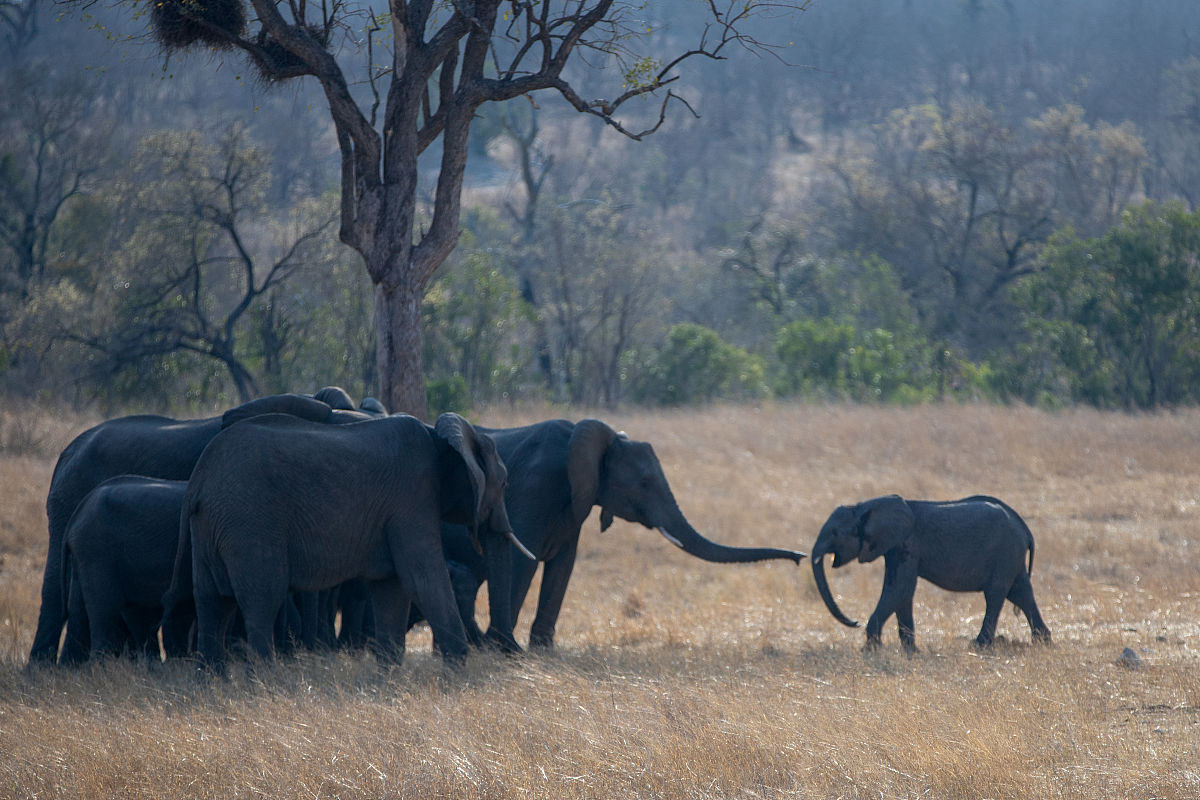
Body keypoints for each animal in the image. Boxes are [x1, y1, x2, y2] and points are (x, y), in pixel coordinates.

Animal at [176, 412, 520, 671]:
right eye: (504, 483)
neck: (442, 439)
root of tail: (198, 481)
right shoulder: (413, 499)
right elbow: (422, 579)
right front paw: (457, 676)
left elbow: (391, 588)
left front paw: (387, 682)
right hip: (250, 523)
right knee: (261, 601)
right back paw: (263, 685)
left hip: (210, 527)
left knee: (211, 603)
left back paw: (213, 685)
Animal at [412, 418, 807, 652]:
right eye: (644, 484)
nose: (800, 558)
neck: (587, 439)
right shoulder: (534, 490)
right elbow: (522, 564)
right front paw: (505, 651)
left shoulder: (574, 503)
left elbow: (563, 567)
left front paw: (543, 651)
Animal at [811, 494, 1052, 653]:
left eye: (835, 533)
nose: (855, 622)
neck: (864, 506)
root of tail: (1025, 530)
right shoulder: (895, 547)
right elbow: (902, 593)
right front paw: (911, 652)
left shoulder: (907, 544)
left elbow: (900, 587)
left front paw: (871, 650)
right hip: (1012, 558)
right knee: (1021, 593)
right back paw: (1043, 643)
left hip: (1005, 553)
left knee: (995, 595)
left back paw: (979, 646)